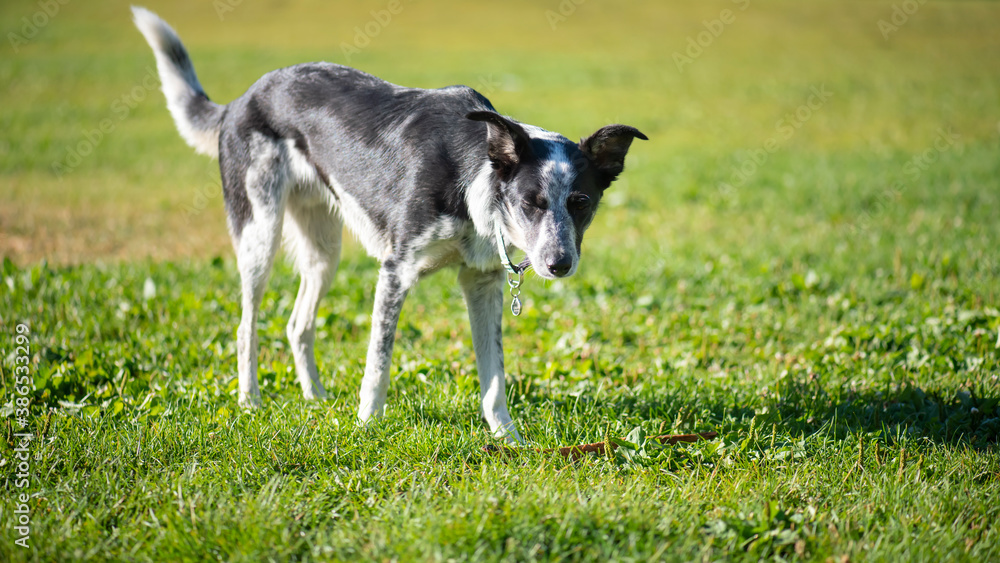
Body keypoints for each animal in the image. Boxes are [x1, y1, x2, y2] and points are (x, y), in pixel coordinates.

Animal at [133, 6, 648, 442]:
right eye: (530, 202)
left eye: (581, 202)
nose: (559, 264)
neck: (470, 177)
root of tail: (239, 101)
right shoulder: (395, 273)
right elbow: (377, 365)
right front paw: (366, 427)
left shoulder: (482, 283)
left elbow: (494, 377)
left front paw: (508, 440)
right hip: (259, 235)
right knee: (246, 327)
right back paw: (249, 402)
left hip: (324, 251)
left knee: (298, 324)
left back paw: (315, 399)